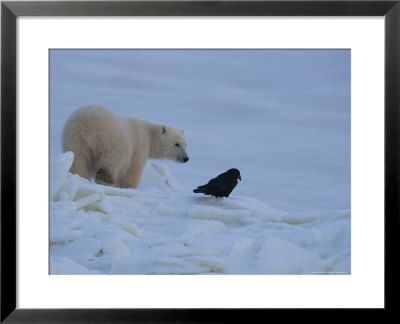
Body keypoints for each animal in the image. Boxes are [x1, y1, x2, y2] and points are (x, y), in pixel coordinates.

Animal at [61, 105, 189, 189]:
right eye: (176, 144)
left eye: (185, 145)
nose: (186, 158)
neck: (148, 134)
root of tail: (87, 127)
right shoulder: (139, 147)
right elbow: (133, 170)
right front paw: (128, 187)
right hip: (112, 139)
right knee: (113, 159)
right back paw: (106, 179)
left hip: (74, 140)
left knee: (77, 161)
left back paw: (80, 178)